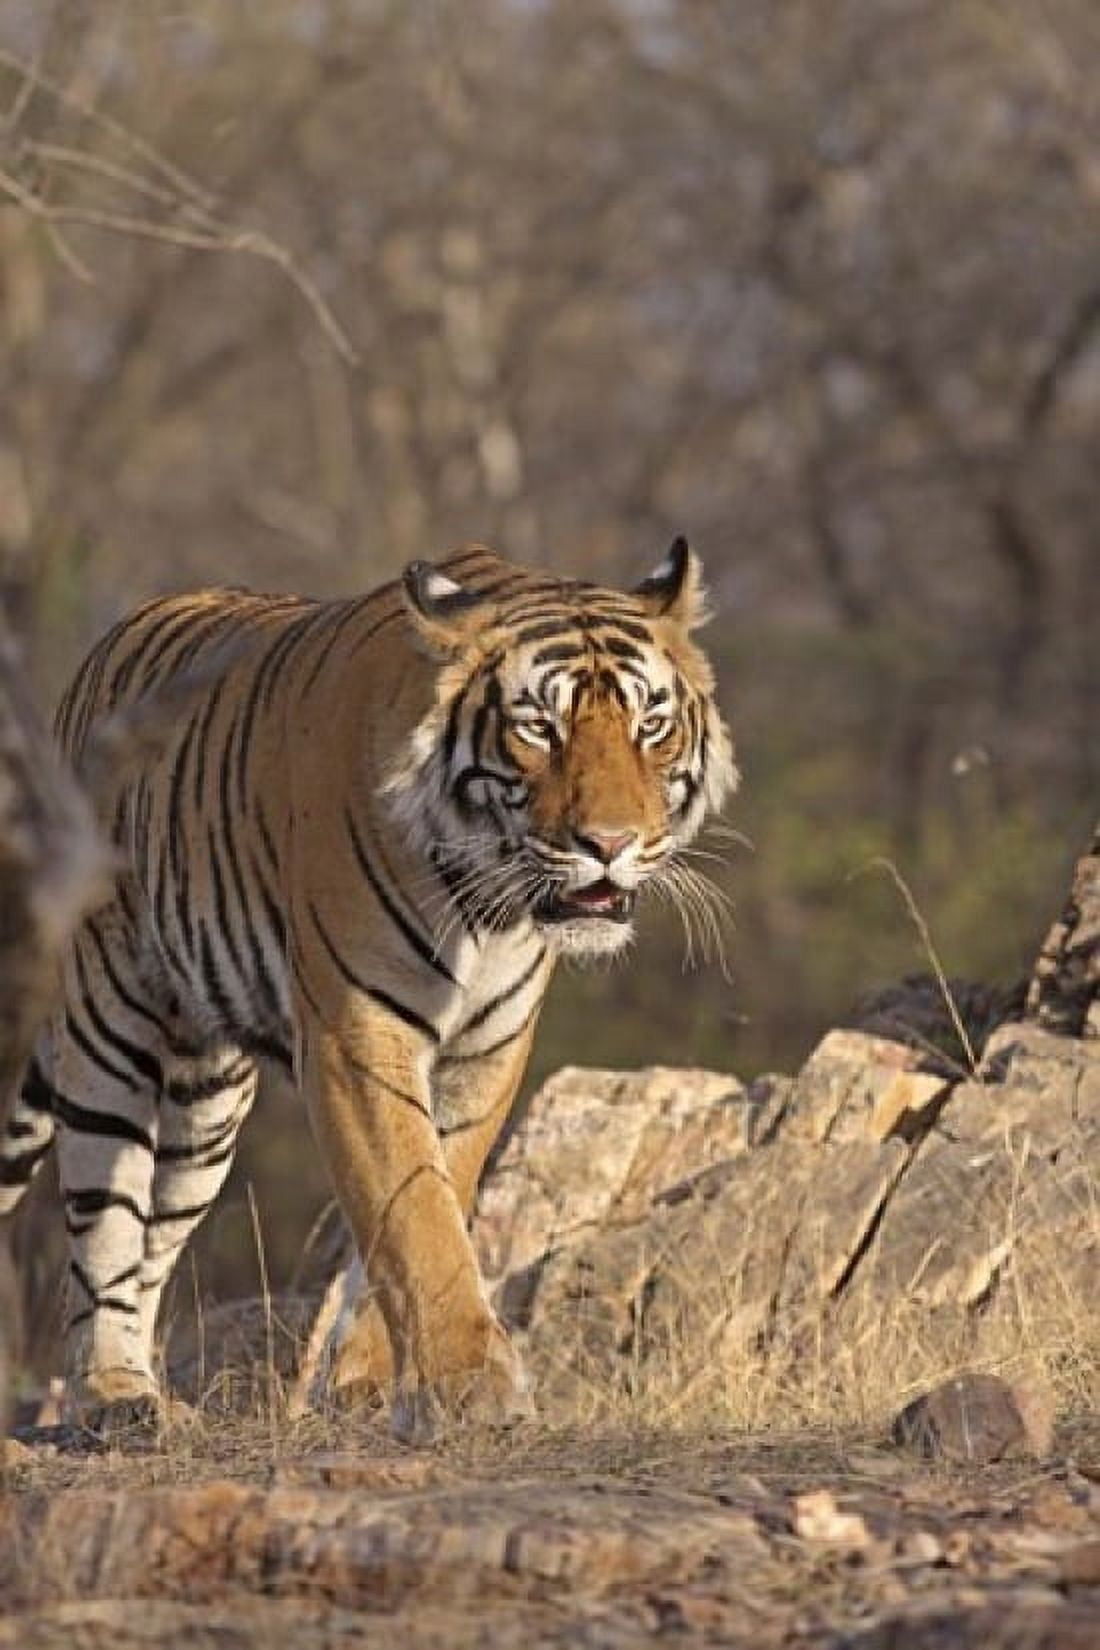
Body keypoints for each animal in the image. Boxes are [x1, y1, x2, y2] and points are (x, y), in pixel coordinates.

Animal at [0, 539, 736, 1441]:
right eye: (539, 726)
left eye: (651, 725)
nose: (610, 843)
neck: (489, 910)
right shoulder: (359, 1036)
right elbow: (412, 1206)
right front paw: (469, 1386)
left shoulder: (486, 1051)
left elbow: (435, 1195)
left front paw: (372, 1386)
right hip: (112, 1031)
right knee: (103, 1227)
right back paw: (113, 1396)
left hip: (205, 1109)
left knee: (149, 1244)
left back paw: (140, 1390)